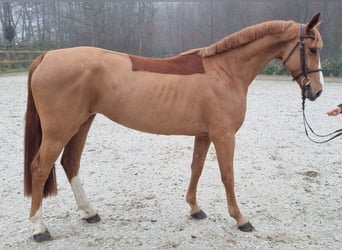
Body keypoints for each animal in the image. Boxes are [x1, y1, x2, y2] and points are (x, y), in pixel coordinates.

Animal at [23, 13, 324, 240]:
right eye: (312, 49)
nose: (317, 92)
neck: (225, 71)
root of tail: (46, 57)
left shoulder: (204, 135)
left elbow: (196, 168)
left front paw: (195, 208)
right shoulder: (224, 136)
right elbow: (228, 176)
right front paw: (241, 219)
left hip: (82, 123)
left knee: (70, 162)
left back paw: (89, 212)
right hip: (59, 130)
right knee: (39, 168)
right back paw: (39, 228)